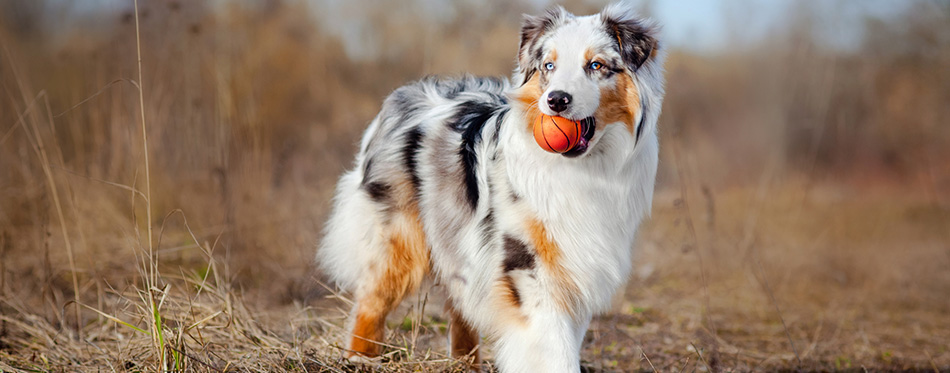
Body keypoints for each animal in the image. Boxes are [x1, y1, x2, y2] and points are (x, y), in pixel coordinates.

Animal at [316, 3, 664, 372]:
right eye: (549, 66)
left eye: (596, 65)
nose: (556, 100)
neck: (583, 169)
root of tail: (404, 95)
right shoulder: (527, 265)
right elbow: (553, 347)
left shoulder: (577, 266)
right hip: (399, 237)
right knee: (372, 299)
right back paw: (361, 357)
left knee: (460, 305)